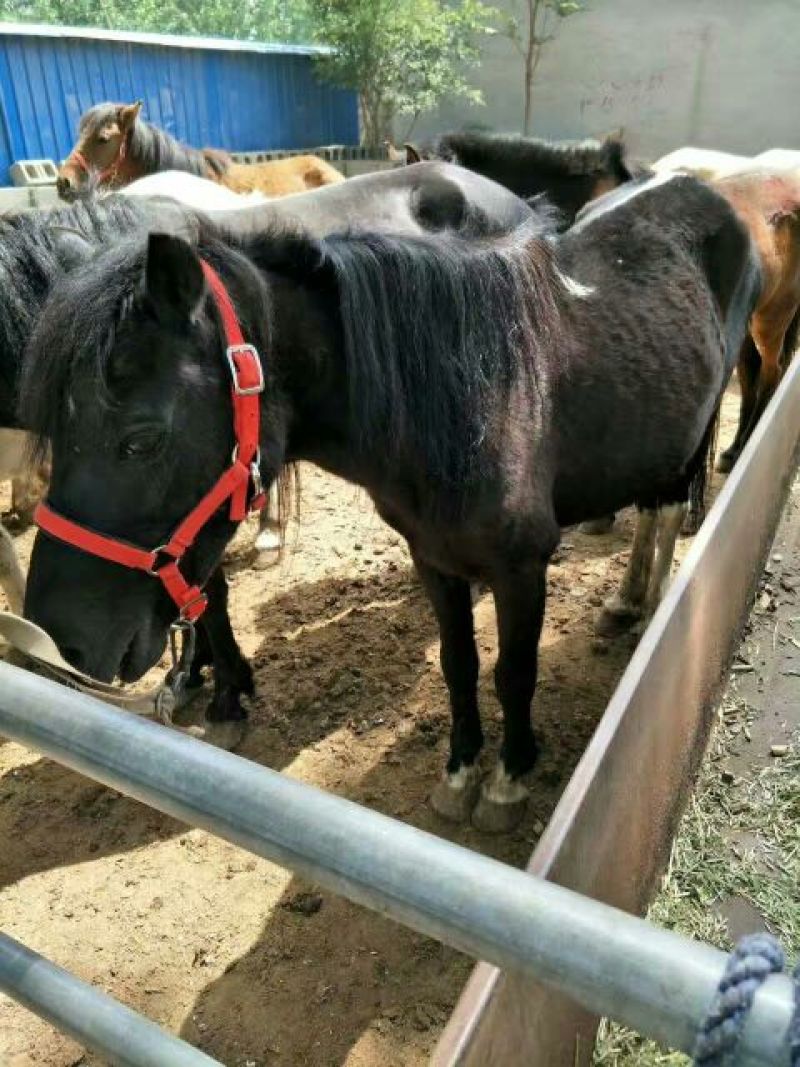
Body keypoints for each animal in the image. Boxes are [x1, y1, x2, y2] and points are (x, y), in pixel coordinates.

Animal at [21, 171, 760, 831]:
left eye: (141, 439)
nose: (63, 638)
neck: (473, 401)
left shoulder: (522, 567)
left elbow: (514, 672)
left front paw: (508, 779)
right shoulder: (433, 558)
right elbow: (459, 665)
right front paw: (460, 770)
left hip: (695, 421)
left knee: (666, 511)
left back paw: (647, 606)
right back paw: (627, 602)